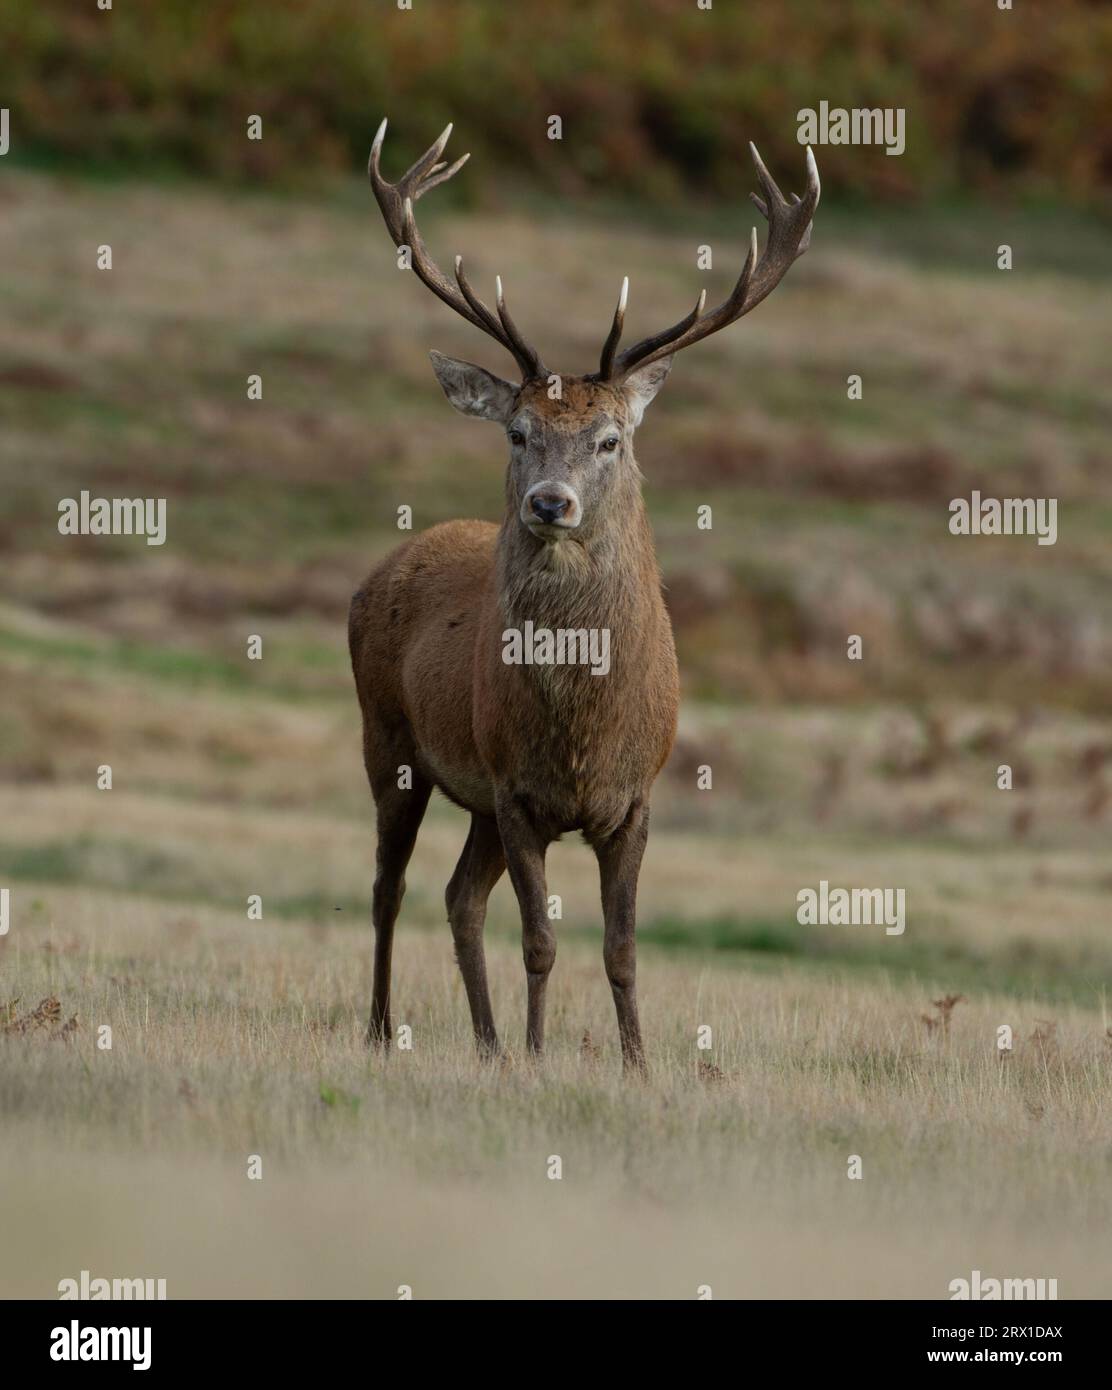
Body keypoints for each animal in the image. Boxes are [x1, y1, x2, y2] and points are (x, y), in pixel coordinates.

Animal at [349, 119, 819, 1071]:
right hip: (390, 742)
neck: (580, 734)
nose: (549, 503)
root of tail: (378, 571)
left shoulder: (633, 798)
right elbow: (540, 941)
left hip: (471, 799)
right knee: (389, 888)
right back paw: (383, 1029)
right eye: (518, 431)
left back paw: (487, 1045)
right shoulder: (516, 791)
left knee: (457, 897)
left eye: (610, 438)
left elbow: (621, 948)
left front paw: (636, 1064)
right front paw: (539, 1054)